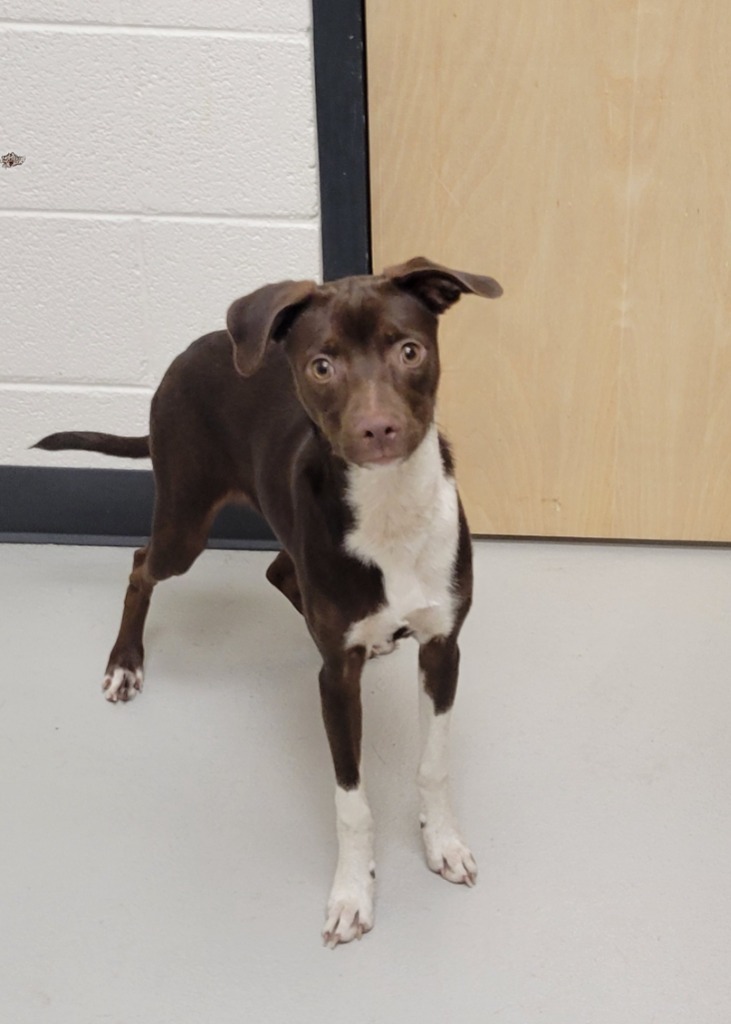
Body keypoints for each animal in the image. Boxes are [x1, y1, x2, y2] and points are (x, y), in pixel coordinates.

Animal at [34, 256, 501, 942]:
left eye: (410, 351)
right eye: (322, 366)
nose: (378, 429)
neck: (389, 513)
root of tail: (192, 349)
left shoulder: (443, 646)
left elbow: (432, 764)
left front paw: (441, 842)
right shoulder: (334, 682)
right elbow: (351, 799)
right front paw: (352, 893)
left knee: (281, 572)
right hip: (184, 520)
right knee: (142, 566)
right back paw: (125, 664)